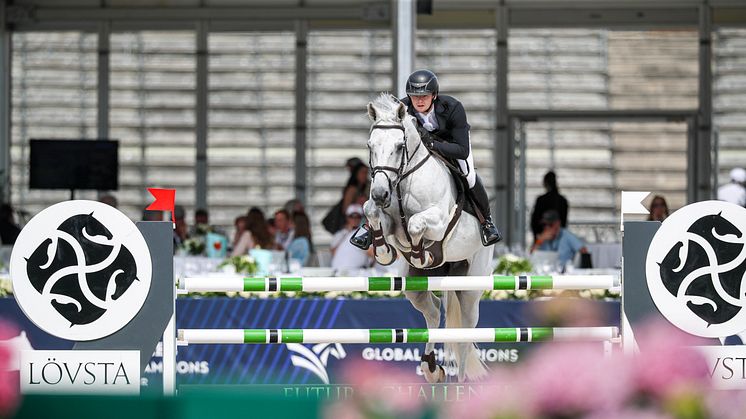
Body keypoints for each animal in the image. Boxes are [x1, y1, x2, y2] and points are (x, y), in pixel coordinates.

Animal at [362, 92, 492, 384]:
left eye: (399, 146)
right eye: (370, 146)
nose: (380, 193)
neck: (403, 180)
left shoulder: (439, 221)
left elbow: (415, 224)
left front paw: (422, 253)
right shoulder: (386, 218)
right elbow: (371, 212)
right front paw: (383, 251)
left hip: (471, 287)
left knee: (465, 335)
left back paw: (459, 383)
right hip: (415, 287)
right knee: (433, 312)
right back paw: (431, 367)